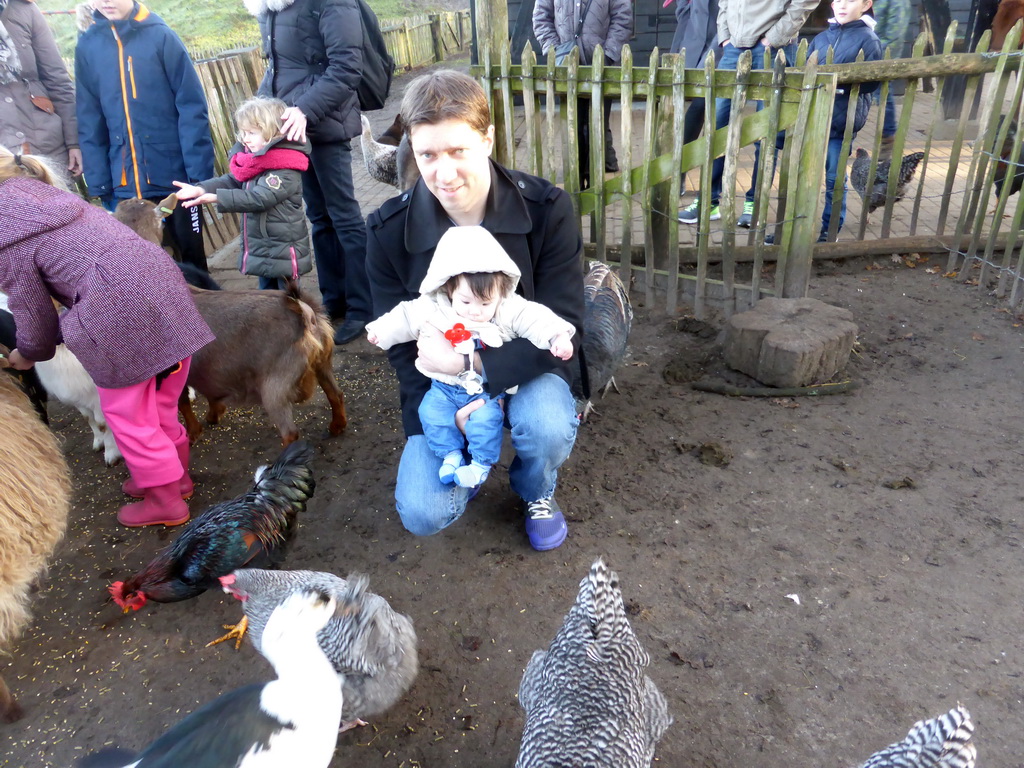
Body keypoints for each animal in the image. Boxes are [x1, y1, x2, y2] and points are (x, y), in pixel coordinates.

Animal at [182, 284, 346, 444]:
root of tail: (305, 312)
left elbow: (184, 404)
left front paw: (192, 433)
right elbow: (210, 395)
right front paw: (213, 415)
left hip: (274, 388)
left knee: (290, 433)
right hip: (322, 365)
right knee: (335, 394)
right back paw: (337, 426)